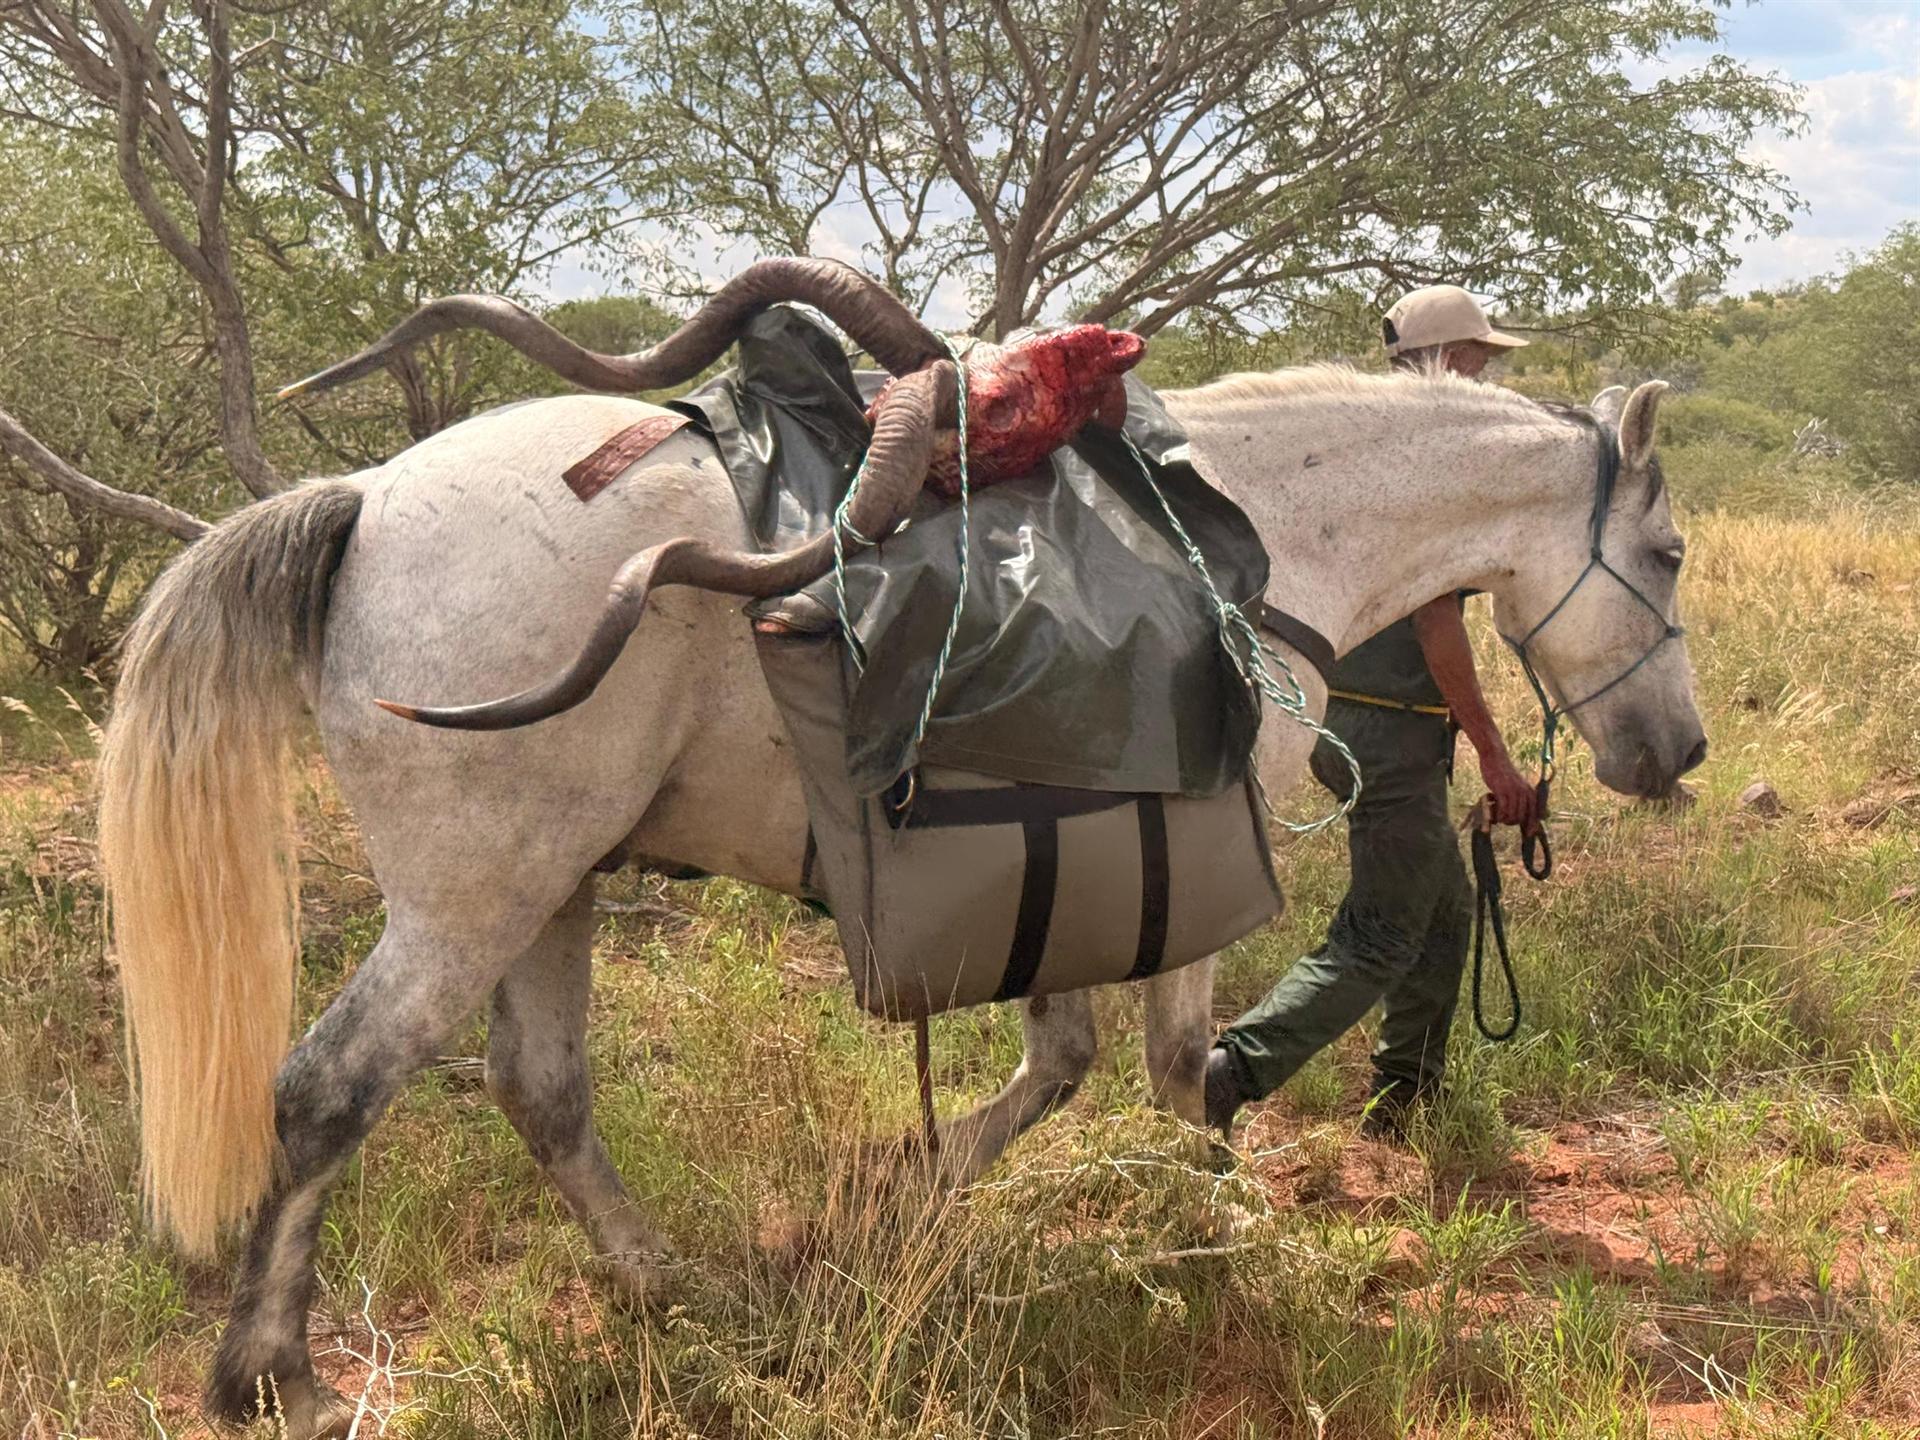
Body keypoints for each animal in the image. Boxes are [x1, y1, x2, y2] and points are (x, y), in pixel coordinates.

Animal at [98, 360, 1702, 1436]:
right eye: (1672, 551)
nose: (1677, 753)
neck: (1246, 542)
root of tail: (364, 497)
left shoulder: (1087, 870)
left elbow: (1062, 1062)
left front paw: (907, 1193)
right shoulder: (1191, 868)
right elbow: (1175, 1067)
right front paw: (1218, 1232)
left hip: (550, 888)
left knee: (539, 1094)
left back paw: (676, 1293)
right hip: (474, 898)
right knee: (326, 1090)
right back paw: (275, 1374)